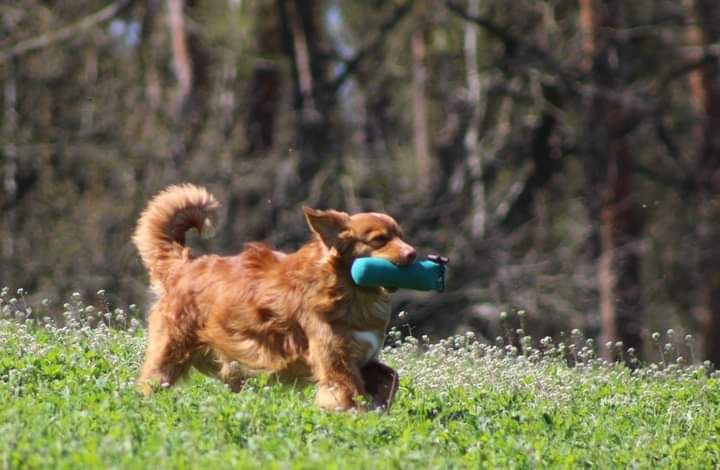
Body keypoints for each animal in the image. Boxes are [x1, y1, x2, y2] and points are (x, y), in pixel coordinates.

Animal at [132, 184, 416, 412]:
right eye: (379, 240)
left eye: (401, 236)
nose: (413, 254)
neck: (352, 292)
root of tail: (182, 265)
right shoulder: (337, 362)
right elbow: (348, 395)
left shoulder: (363, 359)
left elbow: (391, 377)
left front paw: (381, 408)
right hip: (168, 357)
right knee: (145, 385)